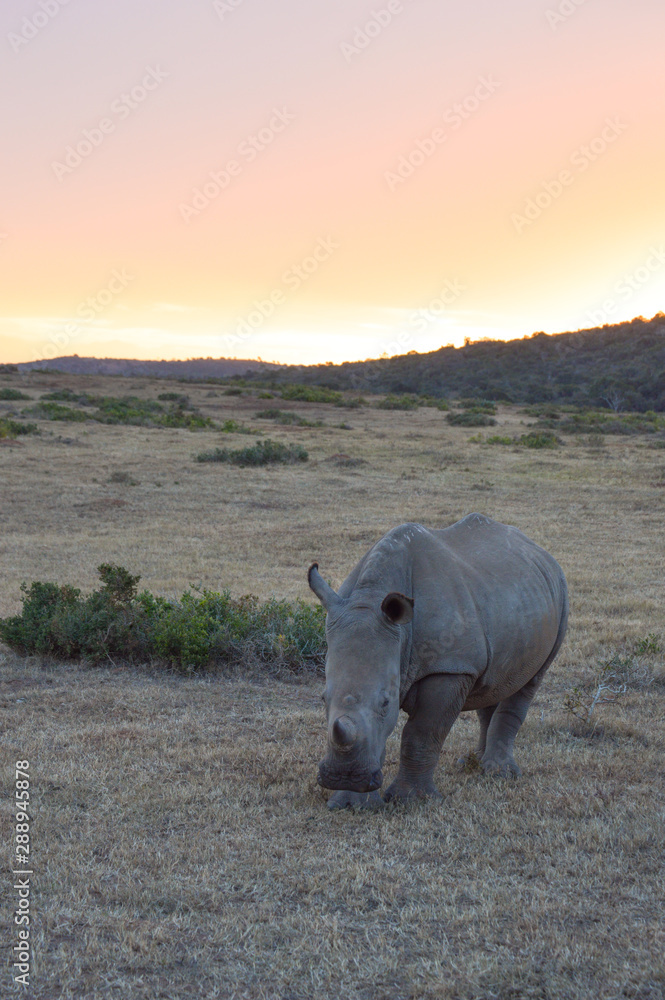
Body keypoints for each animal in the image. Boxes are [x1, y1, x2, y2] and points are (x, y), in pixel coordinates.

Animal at [308, 514, 568, 809]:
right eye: (322, 699)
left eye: (386, 703)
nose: (344, 777)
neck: (370, 597)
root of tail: (541, 551)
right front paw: (351, 804)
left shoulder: (450, 667)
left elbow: (421, 734)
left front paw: (410, 800)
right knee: (492, 683)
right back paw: (471, 763)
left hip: (560, 596)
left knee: (529, 682)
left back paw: (499, 774)